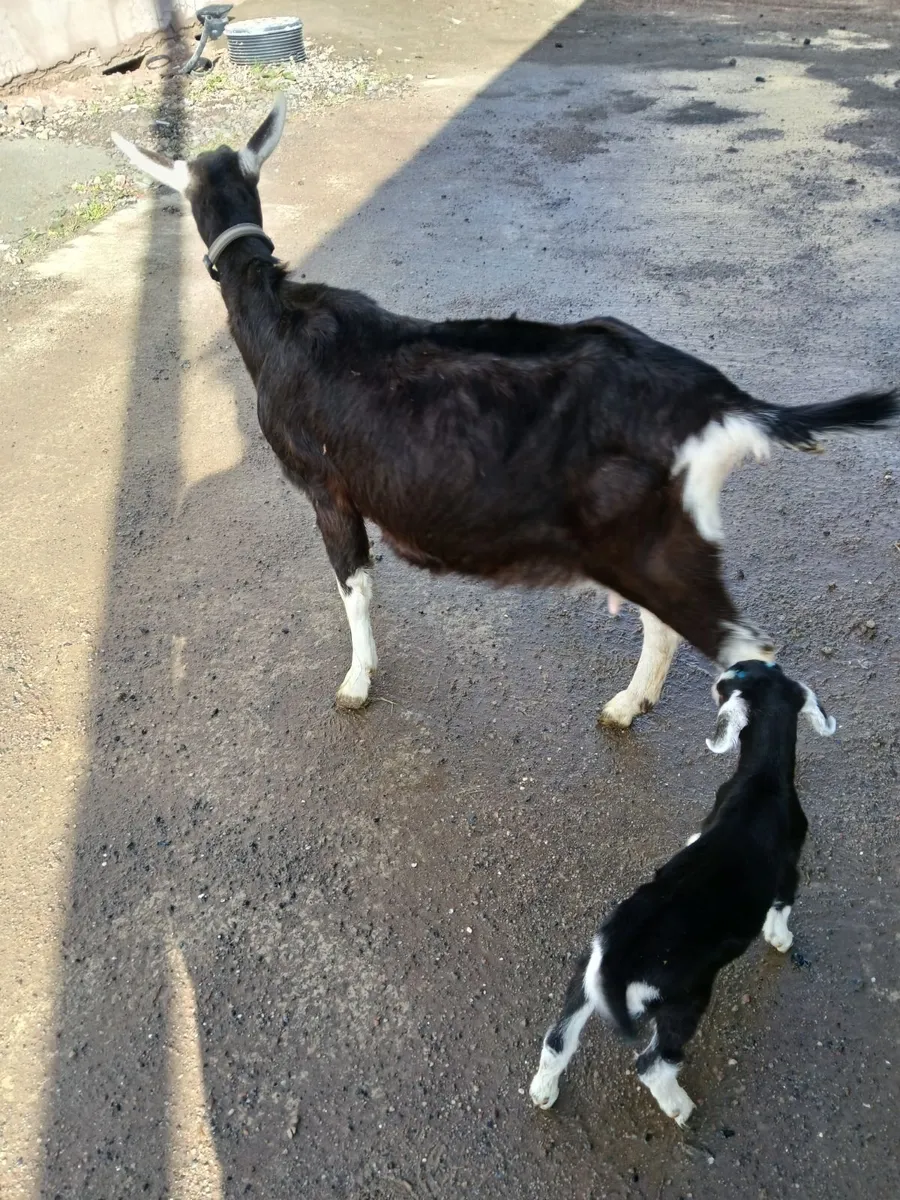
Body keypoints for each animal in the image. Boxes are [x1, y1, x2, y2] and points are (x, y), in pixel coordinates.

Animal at [112, 98, 898, 726]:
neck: (281, 321)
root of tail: (725, 403)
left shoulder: (327, 488)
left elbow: (353, 588)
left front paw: (357, 682)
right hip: (649, 540)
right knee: (670, 629)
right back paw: (627, 705)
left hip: (653, 547)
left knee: (750, 647)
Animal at [529, 660, 835, 1125]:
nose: (722, 672)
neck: (761, 780)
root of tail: (616, 958)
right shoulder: (788, 869)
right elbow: (782, 906)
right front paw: (780, 939)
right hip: (683, 1001)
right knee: (652, 1063)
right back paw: (680, 1107)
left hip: (581, 984)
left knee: (557, 1040)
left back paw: (543, 1090)